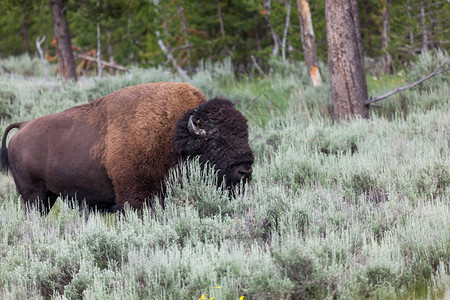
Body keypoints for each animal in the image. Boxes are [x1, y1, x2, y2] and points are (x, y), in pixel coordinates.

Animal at [0, 82, 253, 213]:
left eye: (245, 135)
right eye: (216, 143)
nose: (245, 171)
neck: (173, 135)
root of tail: (23, 126)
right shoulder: (135, 197)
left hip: (48, 196)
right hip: (34, 196)